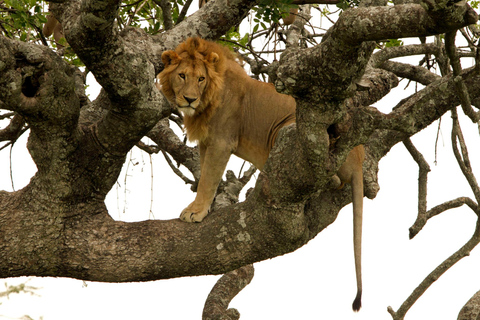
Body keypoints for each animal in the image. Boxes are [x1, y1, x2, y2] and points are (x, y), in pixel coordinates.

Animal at [158, 37, 364, 310]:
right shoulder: (206, 141)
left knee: (330, 178)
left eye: (201, 78)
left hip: (288, 128)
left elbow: (208, 180)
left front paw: (196, 212)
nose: (190, 99)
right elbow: (205, 178)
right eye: (182, 75)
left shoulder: (222, 141)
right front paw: (204, 207)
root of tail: (360, 156)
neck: (208, 98)